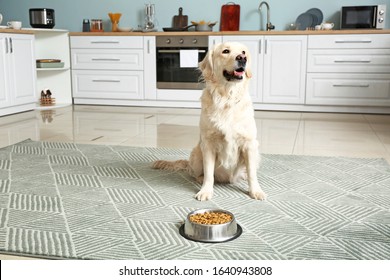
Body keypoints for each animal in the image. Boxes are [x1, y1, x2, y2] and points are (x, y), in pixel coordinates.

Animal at [151, 41, 266, 201]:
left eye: (243, 52)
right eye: (225, 51)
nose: (242, 58)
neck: (227, 98)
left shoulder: (249, 144)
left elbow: (252, 174)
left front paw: (256, 191)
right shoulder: (208, 144)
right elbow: (209, 174)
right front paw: (205, 191)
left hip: (256, 152)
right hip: (197, 155)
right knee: (194, 172)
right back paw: (200, 179)